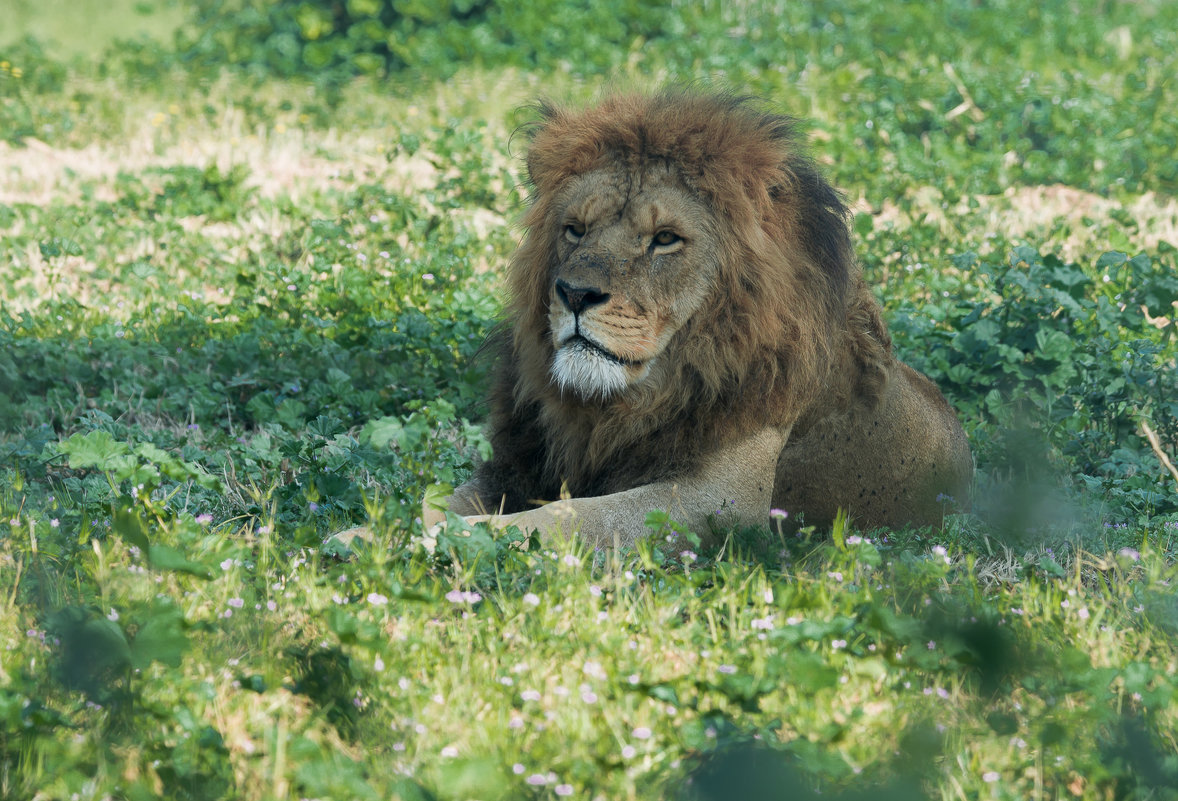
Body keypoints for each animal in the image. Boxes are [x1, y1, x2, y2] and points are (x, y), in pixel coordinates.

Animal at [428, 88, 970, 551]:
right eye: (575, 230)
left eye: (665, 238)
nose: (575, 293)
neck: (618, 405)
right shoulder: (516, 464)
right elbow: (436, 499)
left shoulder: (722, 501)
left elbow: (573, 517)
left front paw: (461, 538)